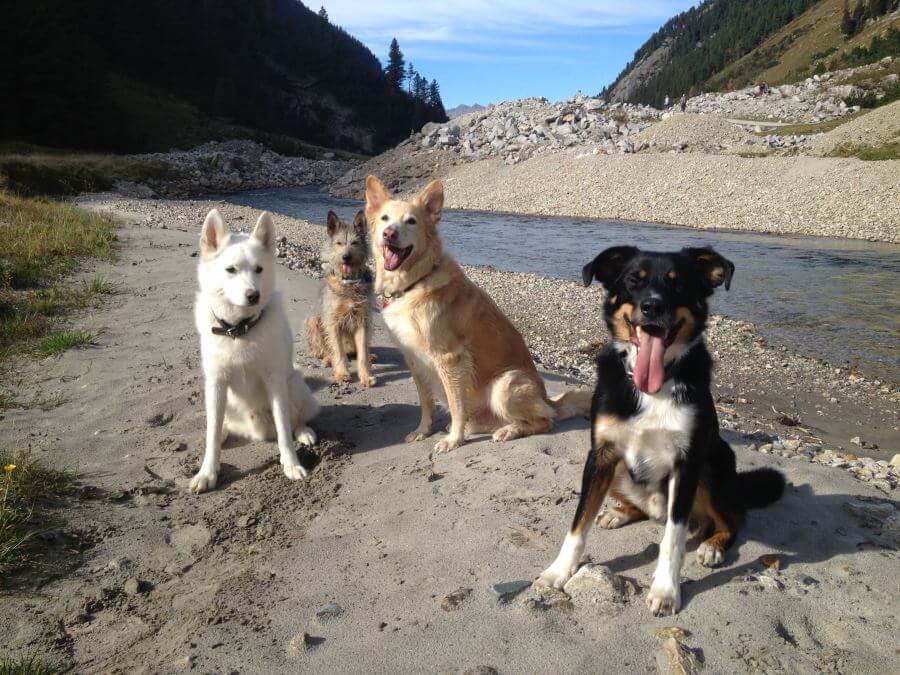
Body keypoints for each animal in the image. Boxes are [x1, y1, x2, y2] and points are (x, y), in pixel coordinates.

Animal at [190, 209, 320, 493]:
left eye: (259, 269)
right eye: (231, 270)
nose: (253, 295)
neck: (240, 331)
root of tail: (258, 428)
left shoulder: (275, 381)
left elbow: (284, 428)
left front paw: (291, 464)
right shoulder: (216, 382)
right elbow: (212, 432)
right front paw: (207, 472)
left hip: (293, 382)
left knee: (294, 420)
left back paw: (304, 432)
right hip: (220, 398)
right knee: (220, 424)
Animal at [305, 210, 375, 386]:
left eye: (355, 243)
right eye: (339, 243)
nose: (346, 257)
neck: (348, 282)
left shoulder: (362, 320)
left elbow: (362, 353)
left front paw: (366, 376)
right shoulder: (333, 321)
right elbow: (337, 350)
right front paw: (342, 373)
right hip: (313, 320)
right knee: (326, 350)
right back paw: (328, 359)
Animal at [364, 175, 590, 453]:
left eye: (411, 221)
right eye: (385, 218)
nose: (389, 234)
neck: (415, 282)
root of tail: (548, 399)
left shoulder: (450, 360)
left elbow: (456, 406)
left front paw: (453, 440)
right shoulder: (414, 360)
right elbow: (426, 403)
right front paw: (422, 431)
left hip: (505, 384)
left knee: (545, 421)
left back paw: (508, 430)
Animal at [535, 245, 784, 615]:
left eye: (677, 283)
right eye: (633, 281)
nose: (652, 306)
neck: (655, 385)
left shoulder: (687, 464)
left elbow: (673, 538)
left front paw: (666, 590)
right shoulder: (600, 455)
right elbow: (578, 524)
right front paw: (558, 572)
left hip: (710, 470)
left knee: (732, 518)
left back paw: (713, 545)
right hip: (617, 471)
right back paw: (620, 513)